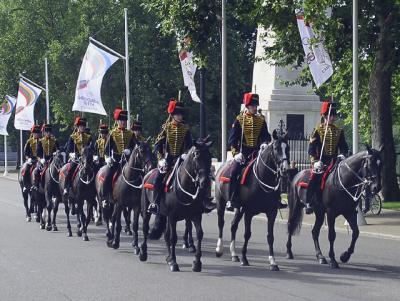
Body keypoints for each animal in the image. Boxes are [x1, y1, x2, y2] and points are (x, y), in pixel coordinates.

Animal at [141, 137, 216, 272]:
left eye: (209, 156)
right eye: (197, 155)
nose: (205, 182)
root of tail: (148, 173)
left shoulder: (196, 215)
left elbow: (199, 234)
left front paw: (197, 263)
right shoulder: (172, 217)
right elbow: (173, 238)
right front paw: (174, 262)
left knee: (166, 235)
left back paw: (168, 257)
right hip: (146, 210)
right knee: (145, 228)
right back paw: (143, 253)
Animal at [214, 130, 290, 270]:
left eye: (287, 148)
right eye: (276, 148)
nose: (285, 169)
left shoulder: (271, 212)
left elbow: (270, 236)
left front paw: (273, 262)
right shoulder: (249, 212)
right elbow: (247, 234)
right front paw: (244, 258)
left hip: (239, 209)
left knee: (233, 226)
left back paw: (234, 254)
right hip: (221, 203)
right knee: (221, 223)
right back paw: (219, 249)